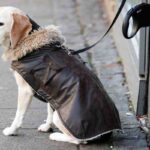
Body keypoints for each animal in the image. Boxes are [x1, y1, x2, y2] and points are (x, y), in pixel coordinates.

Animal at [0, 6, 120, 145]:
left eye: (1, 23)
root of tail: (107, 133)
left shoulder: (25, 91)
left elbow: (19, 115)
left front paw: (12, 130)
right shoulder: (50, 93)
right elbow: (49, 111)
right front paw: (47, 127)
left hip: (62, 119)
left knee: (78, 141)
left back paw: (56, 135)